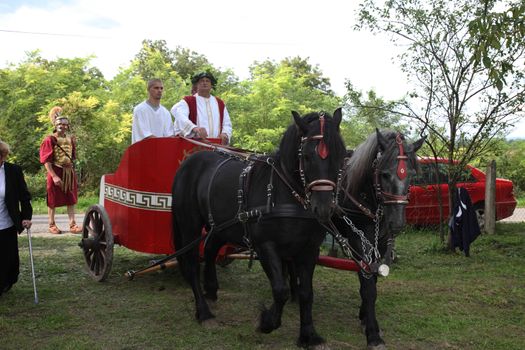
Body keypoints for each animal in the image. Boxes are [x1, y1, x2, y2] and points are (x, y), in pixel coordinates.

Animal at [170, 108, 346, 348]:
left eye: (340, 156)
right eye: (307, 157)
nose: (324, 208)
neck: (286, 195)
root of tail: (189, 162)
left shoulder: (309, 250)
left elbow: (306, 293)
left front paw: (308, 335)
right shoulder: (266, 246)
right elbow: (280, 290)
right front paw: (267, 323)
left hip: (220, 226)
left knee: (210, 249)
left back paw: (211, 290)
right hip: (189, 225)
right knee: (191, 264)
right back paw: (204, 312)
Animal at [334, 130, 424, 348]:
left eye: (412, 175)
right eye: (384, 174)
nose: (397, 223)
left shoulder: (381, 242)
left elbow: (372, 279)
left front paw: (364, 317)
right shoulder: (357, 239)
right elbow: (368, 287)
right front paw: (373, 334)